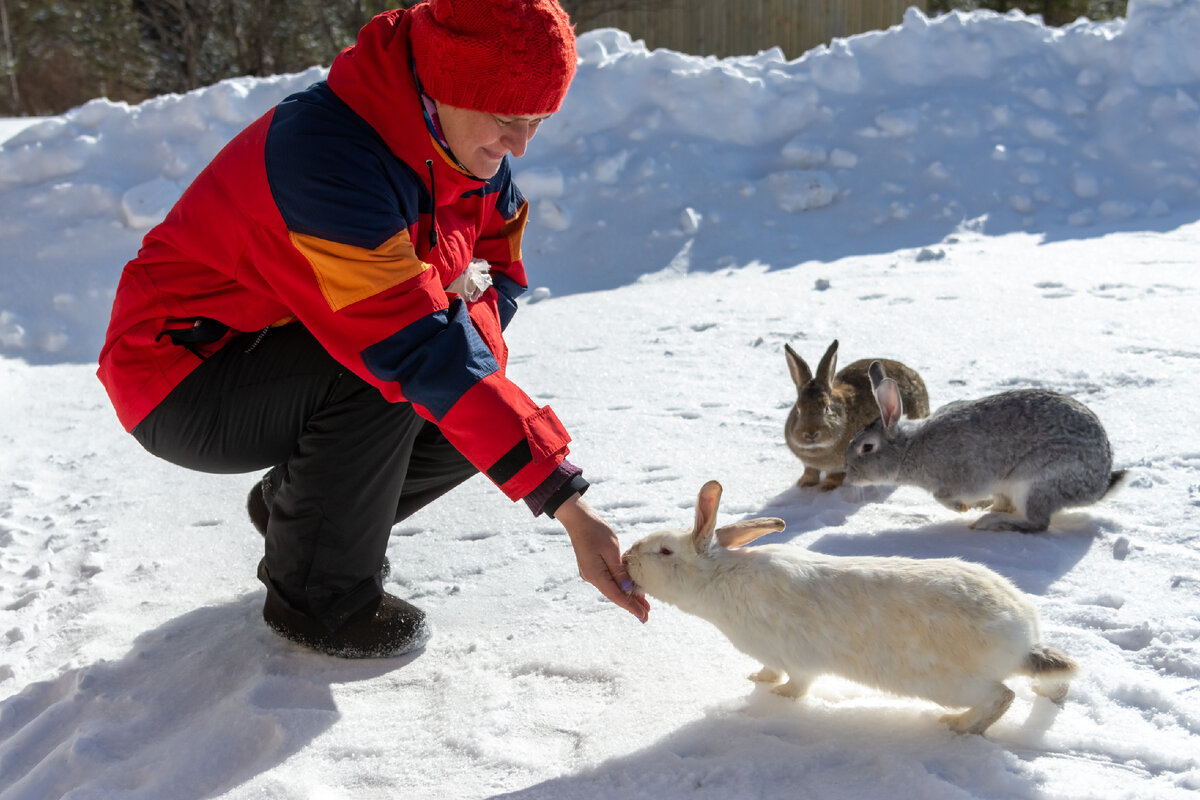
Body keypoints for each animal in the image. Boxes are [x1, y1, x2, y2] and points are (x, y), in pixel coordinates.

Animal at [624, 479, 1084, 734]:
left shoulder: (799, 660)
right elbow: (769, 669)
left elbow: (798, 683)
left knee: (1001, 697)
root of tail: (1023, 638)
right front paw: (758, 679)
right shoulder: (772, 655)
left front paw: (779, 698)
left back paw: (958, 728)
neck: (720, 575)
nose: (626, 558)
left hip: (954, 684)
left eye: (664, 551)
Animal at [782, 338, 931, 489]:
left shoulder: (840, 465)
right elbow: (810, 471)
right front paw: (804, 484)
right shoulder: (809, 465)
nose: (810, 433)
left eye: (826, 408)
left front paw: (826, 487)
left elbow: (835, 475)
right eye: (798, 410)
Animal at [844, 362, 1123, 532]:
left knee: (1038, 523)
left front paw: (963, 508)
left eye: (867, 448)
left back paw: (993, 522)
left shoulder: (966, 478)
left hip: (1036, 484)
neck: (908, 449)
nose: (848, 475)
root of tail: (1096, 488)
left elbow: (942, 497)